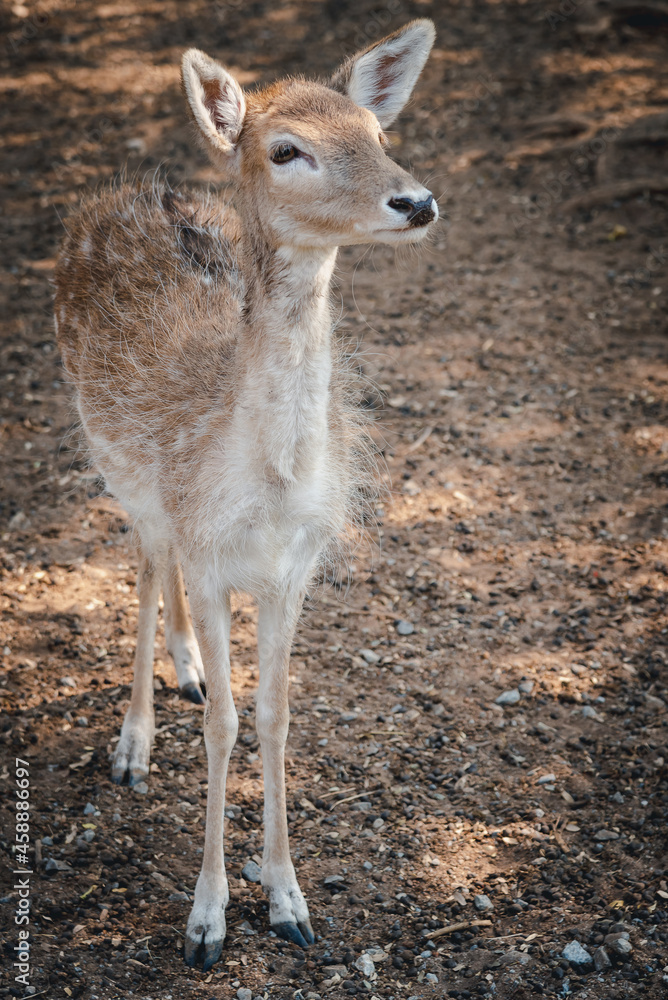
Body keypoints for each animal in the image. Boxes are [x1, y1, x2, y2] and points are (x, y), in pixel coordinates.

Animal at [53, 19, 438, 969]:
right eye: (287, 149)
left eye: (376, 132)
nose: (416, 201)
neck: (264, 485)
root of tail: (129, 192)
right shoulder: (206, 546)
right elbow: (225, 726)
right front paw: (207, 920)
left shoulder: (291, 567)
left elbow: (276, 715)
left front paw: (290, 900)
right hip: (116, 465)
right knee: (145, 564)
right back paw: (136, 740)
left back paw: (186, 670)